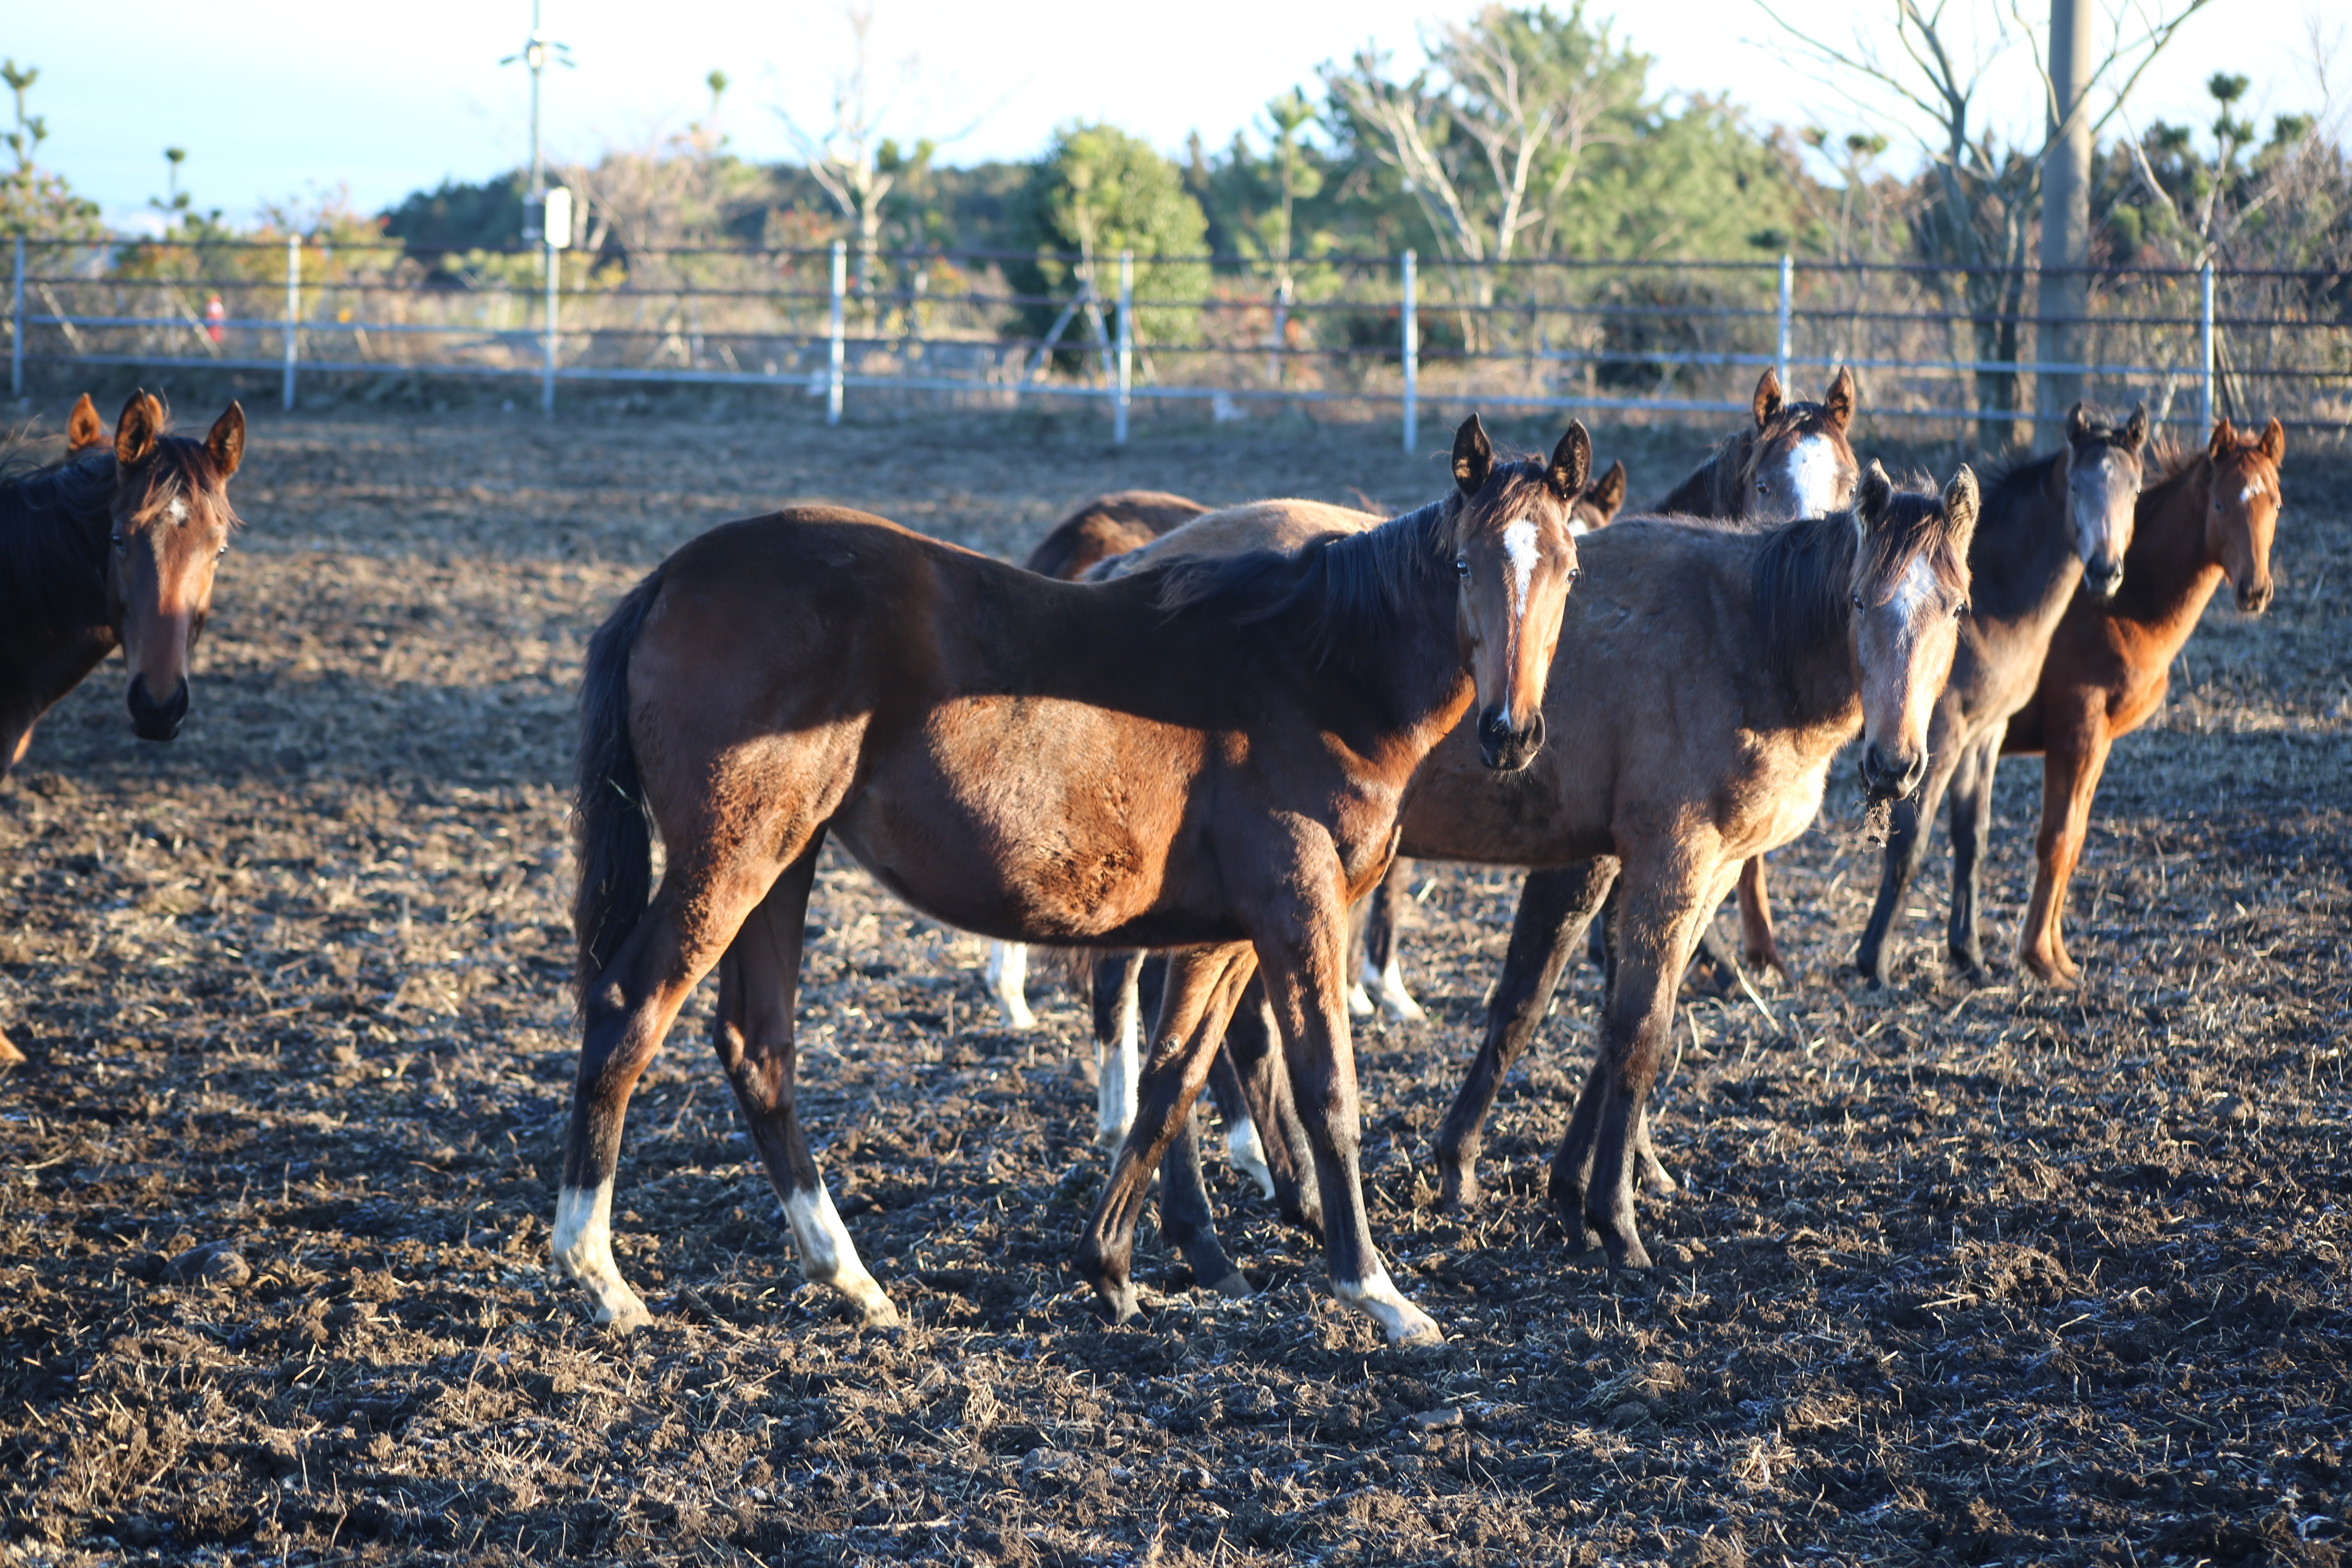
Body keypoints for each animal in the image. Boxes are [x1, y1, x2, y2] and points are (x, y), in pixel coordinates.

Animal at [555, 416, 1580, 1354]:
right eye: (1462, 564)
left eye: (1567, 569)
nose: (1512, 731)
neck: (1313, 670)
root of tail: (668, 579)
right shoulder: (1299, 908)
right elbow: (1325, 1086)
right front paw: (1376, 1292)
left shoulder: (1224, 934)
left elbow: (1173, 1078)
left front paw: (1113, 1269)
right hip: (730, 859)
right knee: (629, 1009)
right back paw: (598, 1273)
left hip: (783, 858)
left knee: (758, 1046)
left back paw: (849, 1277)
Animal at [1853, 404, 2154, 992]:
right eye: (2076, 485)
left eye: (2134, 490)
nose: (2104, 571)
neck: (1991, 608)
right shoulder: (1938, 737)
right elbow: (1911, 842)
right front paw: (1873, 962)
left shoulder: (1984, 735)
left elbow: (1973, 838)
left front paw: (1968, 954)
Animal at [1994, 416, 2286, 982]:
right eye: (2221, 504)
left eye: (2276, 504)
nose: (2254, 591)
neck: (2112, 607)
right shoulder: (2077, 732)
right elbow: (2056, 840)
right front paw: (2041, 961)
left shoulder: (2099, 741)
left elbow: (2075, 839)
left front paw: (2059, 957)